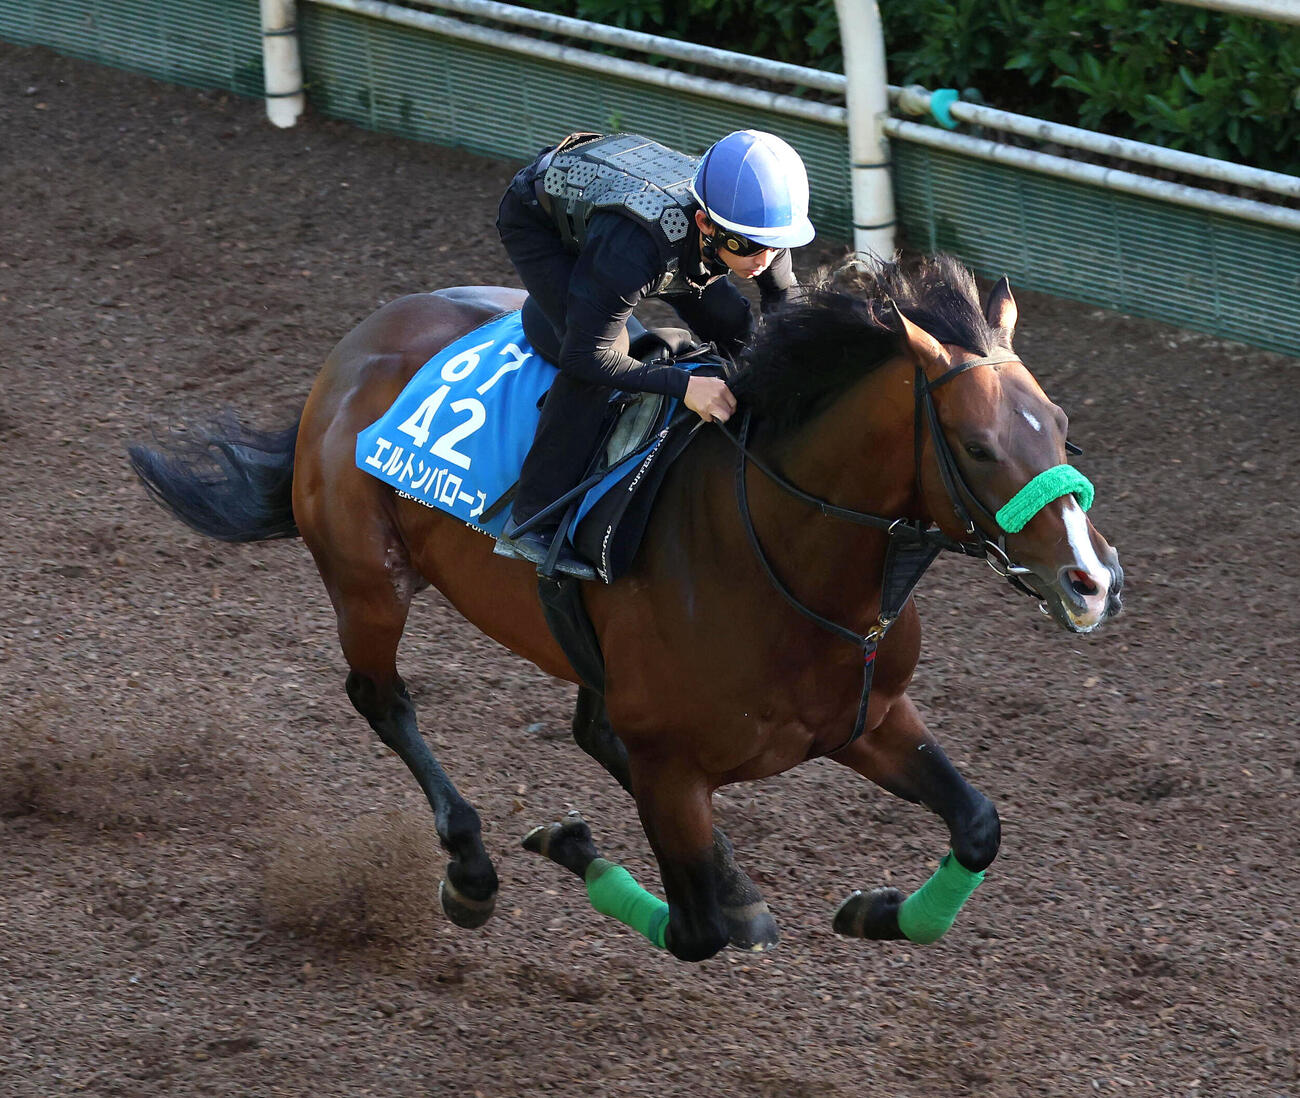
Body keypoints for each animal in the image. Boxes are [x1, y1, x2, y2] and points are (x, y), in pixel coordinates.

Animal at [128, 253, 1123, 963]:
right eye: (978, 445)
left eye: (1063, 427)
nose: (1092, 579)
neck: (785, 564)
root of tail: (353, 349)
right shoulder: (671, 768)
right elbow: (695, 932)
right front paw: (571, 845)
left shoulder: (868, 716)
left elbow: (979, 825)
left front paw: (874, 912)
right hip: (368, 582)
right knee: (384, 700)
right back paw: (471, 869)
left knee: (584, 726)